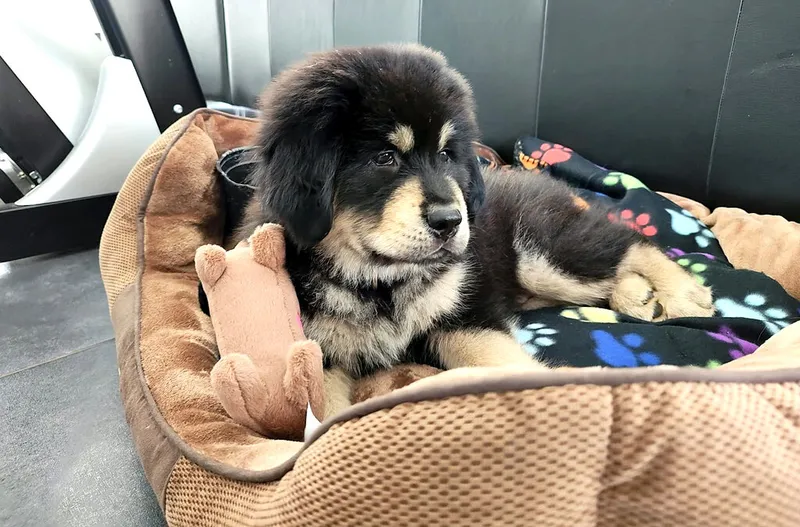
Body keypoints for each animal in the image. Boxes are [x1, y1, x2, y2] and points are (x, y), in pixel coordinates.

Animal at [237, 44, 714, 416]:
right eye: (384, 158)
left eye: (447, 154)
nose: (451, 221)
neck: (380, 281)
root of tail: (544, 180)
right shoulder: (322, 353)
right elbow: (325, 413)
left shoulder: (464, 311)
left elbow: (497, 357)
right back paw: (638, 295)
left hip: (543, 253)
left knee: (628, 242)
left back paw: (680, 291)